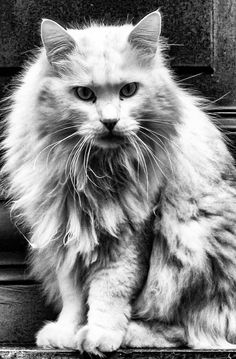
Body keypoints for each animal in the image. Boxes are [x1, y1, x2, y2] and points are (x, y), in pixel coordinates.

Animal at [2, 9, 236, 354]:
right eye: (84, 94)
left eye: (128, 91)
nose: (110, 121)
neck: (95, 170)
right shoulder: (67, 231)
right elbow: (73, 297)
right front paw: (68, 333)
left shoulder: (130, 235)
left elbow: (109, 293)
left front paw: (99, 336)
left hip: (193, 237)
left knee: (187, 328)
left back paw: (131, 333)